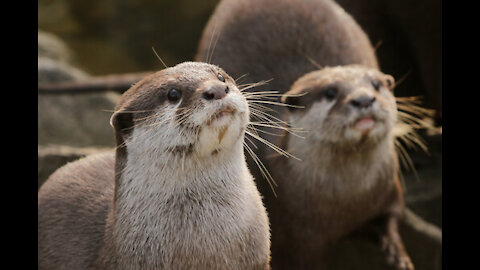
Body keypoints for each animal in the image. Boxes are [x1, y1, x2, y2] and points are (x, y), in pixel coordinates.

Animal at [195, 0, 412, 270]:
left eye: (376, 84)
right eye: (330, 92)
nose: (363, 99)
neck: (347, 203)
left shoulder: (390, 184)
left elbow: (394, 214)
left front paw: (398, 253)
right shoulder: (294, 238)